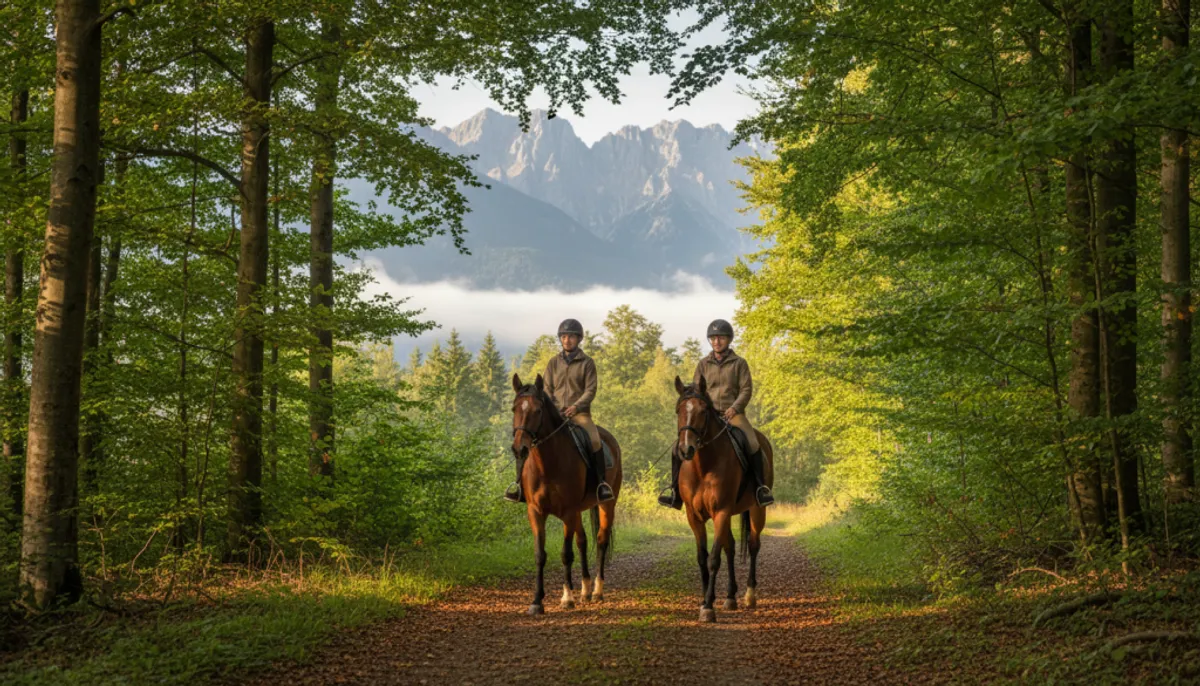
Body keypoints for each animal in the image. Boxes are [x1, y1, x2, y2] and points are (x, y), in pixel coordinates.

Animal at [511, 373, 622, 616]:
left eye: (538, 411)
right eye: (514, 408)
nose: (519, 449)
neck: (548, 464)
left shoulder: (568, 512)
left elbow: (565, 554)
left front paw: (566, 598)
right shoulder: (536, 512)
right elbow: (540, 554)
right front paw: (537, 601)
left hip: (606, 505)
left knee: (600, 540)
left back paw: (597, 591)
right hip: (580, 511)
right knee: (583, 541)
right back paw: (585, 591)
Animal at [674, 375, 772, 623]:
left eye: (703, 411)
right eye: (679, 410)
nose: (686, 449)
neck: (703, 465)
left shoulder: (721, 512)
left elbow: (714, 559)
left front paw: (709, 607)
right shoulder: (694, 516)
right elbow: (702, 557)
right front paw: (703, 601)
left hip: (757, 510)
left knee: (753, 544)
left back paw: (749, 595)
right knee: (731, 546)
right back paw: (730, 597)